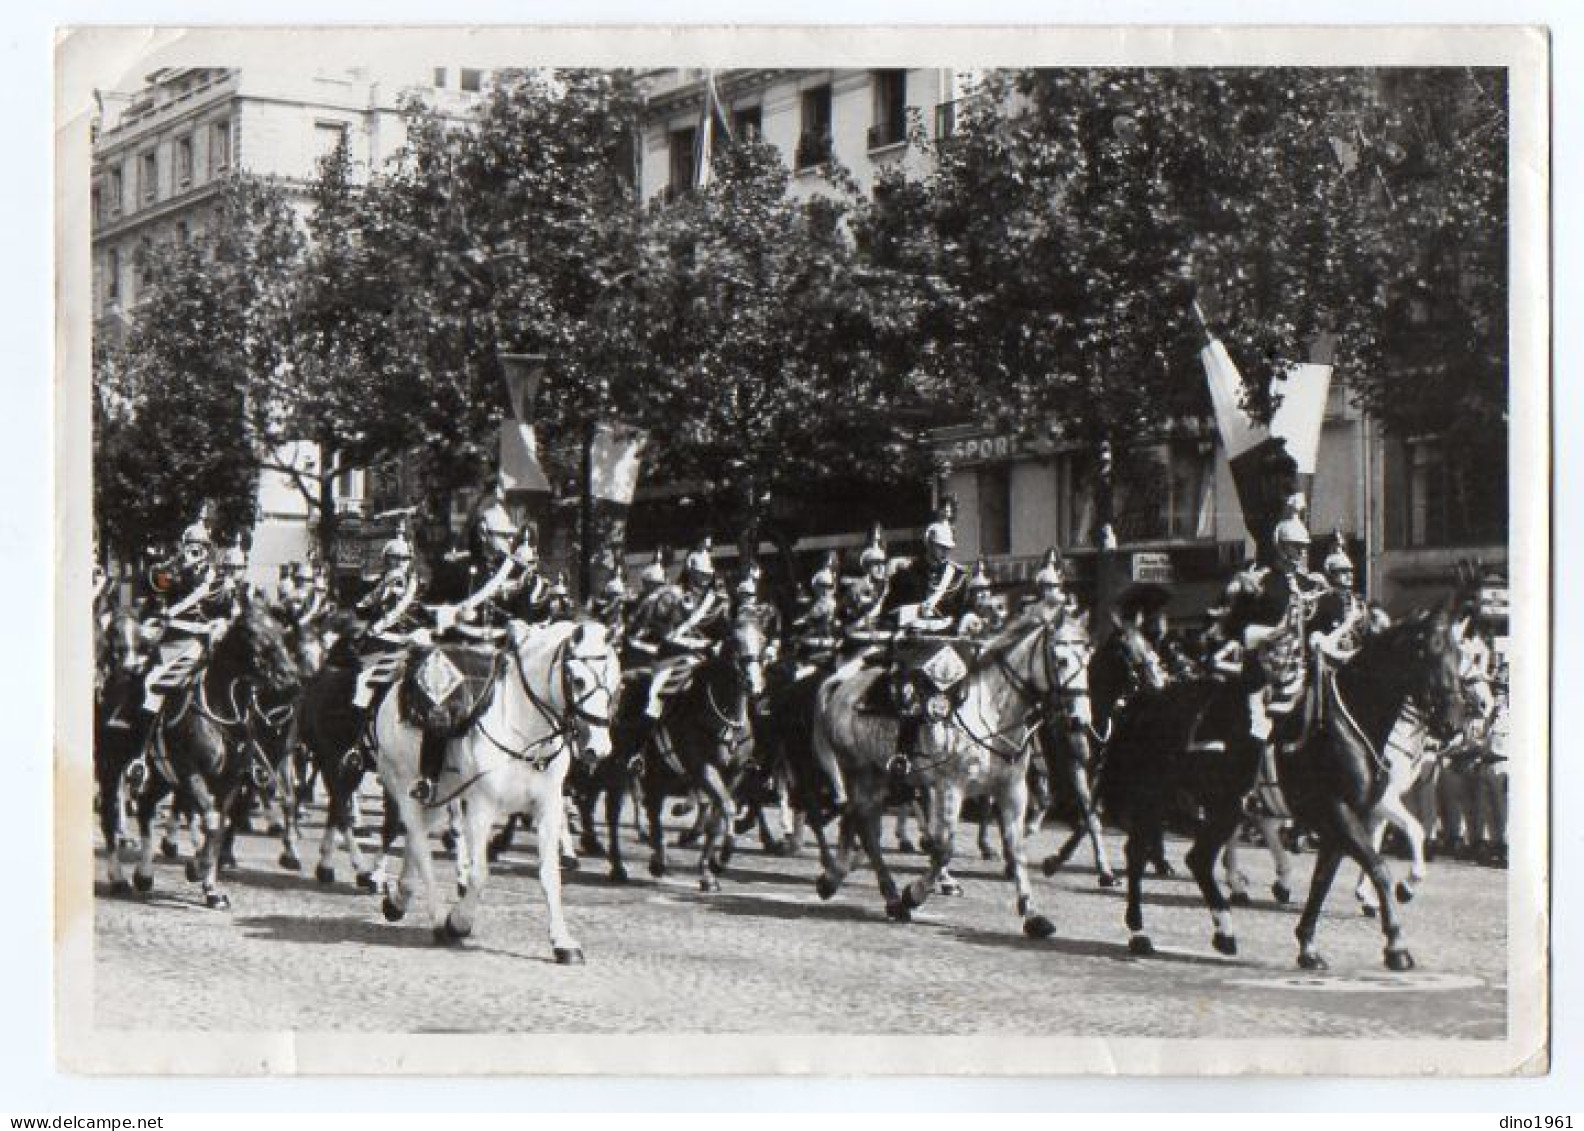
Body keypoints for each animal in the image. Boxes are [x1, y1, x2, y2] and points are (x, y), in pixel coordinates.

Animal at [107, 598, 302, 906]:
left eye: (282, 632)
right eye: (249, 632)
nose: (290, 680)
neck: (222, 716)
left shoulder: (230, 782)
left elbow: (219, 824)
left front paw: (211, 889)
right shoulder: (191, 774)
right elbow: (210, 820)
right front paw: (196, 869)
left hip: (161, 777)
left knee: (147, 808)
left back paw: (144, 875)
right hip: (111, 766)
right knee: (110, 817)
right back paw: (118, 878)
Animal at [370, 611, 617, 956]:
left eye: (616, 681)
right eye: (578, 679)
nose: (599, 748)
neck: (524, 733)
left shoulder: (548, 807)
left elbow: (549, 874)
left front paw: (562, 942)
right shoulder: (481, 807)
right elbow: (479, 874)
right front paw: (458, 922)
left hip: (438, 796)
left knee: (414, 842)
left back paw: (399, 899)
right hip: (406, 787)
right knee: (419, 843)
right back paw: (436, 919)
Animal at [595, 617, 766, 887]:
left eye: (763, 639)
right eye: (731, 639)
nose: (753, 683)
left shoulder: (733, 775)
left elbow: (716, 819)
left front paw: (708, 872)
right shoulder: (704, 769)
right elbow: (727, 807)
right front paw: (721, 859)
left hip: (658, 774)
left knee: (653, 809)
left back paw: (658, 860)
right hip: (620, 768)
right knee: (615, 812)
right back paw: (619, 867)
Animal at [1279, 608, 1463, 969]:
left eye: (1459, 655)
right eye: (1428, 652)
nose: (1452, 724)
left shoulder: (1357, 812)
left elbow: (1332, 874)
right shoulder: (1345, 808)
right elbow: (1389, 853)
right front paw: (1396, 936)